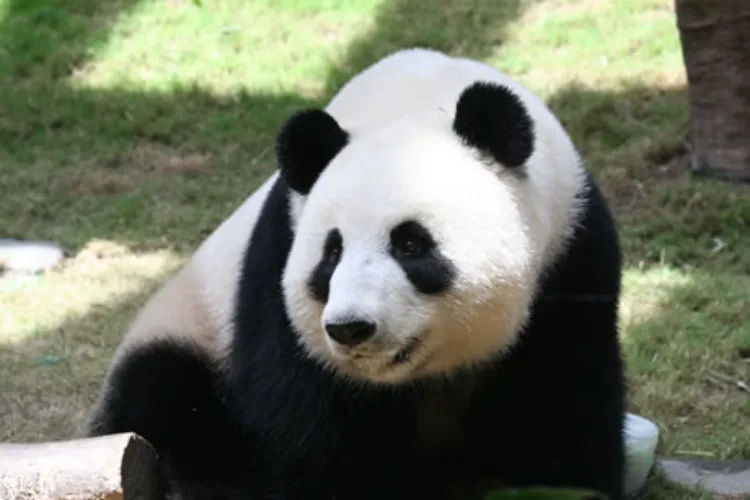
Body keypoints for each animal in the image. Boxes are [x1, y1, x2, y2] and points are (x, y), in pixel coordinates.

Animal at [86, 48, 627, 500]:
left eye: (410, 243)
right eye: (331, 253)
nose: (351, 328)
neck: (416, 102)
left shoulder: (571, 256)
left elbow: (561, 408)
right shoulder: (277, 264)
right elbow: (306, 435)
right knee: (165, 402)